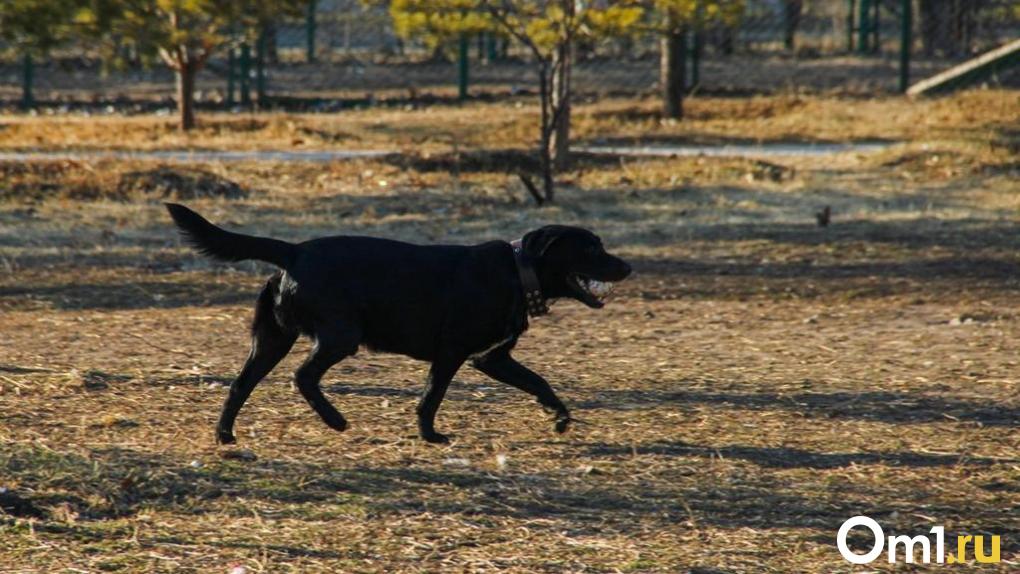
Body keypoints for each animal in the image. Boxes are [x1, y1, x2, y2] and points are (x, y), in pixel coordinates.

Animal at [165, 203, 628, 446]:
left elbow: (539, 381)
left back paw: (225, 435)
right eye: (591, 248)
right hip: (341, 336)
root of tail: (294, 251)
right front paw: (431, 435)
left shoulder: (491, 358)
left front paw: (560, 417)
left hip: (272, 340)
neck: (518, 271)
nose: (628, 266)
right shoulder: (453, 352)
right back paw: (335, 420)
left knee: (240, 384)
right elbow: (432, 396)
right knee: (303, 376)